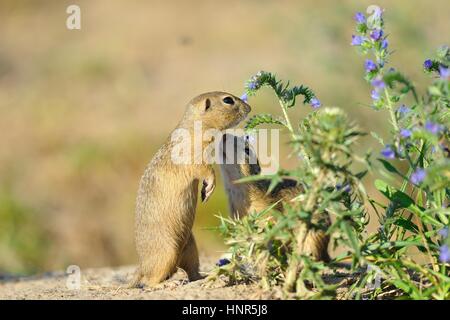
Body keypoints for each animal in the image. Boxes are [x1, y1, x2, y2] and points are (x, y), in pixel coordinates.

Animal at [130, 90, 251, 288]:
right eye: (228, 100)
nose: (249, 107)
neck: (195, 126)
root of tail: (141, 265)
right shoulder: (194, 157)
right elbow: (205, 170)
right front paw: (209, 187)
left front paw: (205, 190)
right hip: (166, 252)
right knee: (149, 281)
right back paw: (165, 284)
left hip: (191, 247)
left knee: (191, 272)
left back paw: (204, 277)